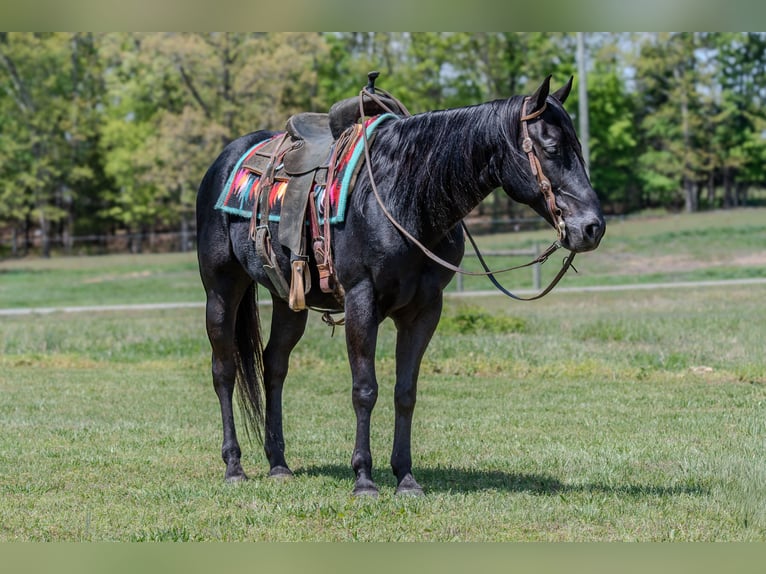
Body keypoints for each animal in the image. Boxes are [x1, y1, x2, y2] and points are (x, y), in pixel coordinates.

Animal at [196, 76, 605, 496]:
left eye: (578, 147)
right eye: (552, 148)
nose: (592, 227)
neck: (405, 197)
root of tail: (226, 159)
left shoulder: (424, 310)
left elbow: (404, 392)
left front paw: (405, 477)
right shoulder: (361, 301)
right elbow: (365, 389)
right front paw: (363, 478)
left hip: (288, 300)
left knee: (274, 366)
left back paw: (278, 463)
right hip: (221, 290)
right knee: (224, 370)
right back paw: (234, 466)